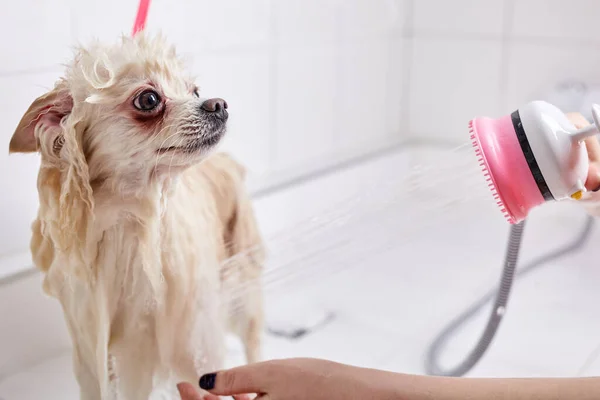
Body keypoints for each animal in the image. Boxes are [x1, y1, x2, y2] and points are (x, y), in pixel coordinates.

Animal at [7, 32, 264, 398]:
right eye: (149, 99)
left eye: (194, 91)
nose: (218, 104)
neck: (125, 222)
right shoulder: (92, 352)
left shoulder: (187, 343)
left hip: (243, 282)